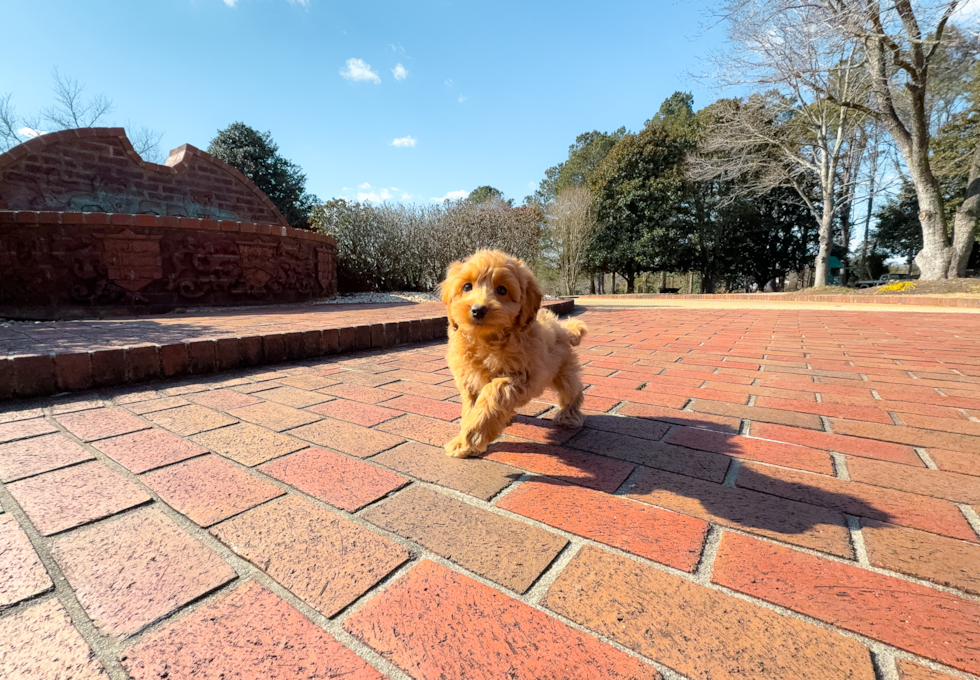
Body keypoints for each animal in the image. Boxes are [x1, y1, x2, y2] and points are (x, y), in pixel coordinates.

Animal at [440, 252, 584, 460]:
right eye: (466, 286)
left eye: (502, 290)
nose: (478, 310)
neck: (485, 339)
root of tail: (562, 327)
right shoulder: (469, 379)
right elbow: (471, 407)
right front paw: (468, 436)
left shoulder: (521, 376)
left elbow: (494, 392)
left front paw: (466, 441)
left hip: (563, 371)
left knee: (572, 391)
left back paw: (569, 416)